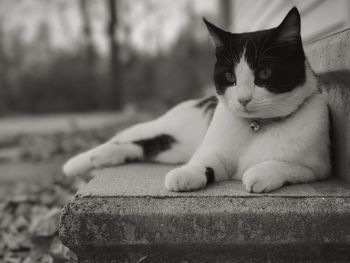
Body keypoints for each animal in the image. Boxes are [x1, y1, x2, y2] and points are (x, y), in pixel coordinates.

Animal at [63, 7, 330, 194]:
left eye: (264, 73)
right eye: (230, 76)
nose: (243, 99)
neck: (256, 126)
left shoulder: (317, 169)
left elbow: (286, 165)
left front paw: (259, 173)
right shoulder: (212, 153)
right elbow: (204, 162)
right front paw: (184, 175)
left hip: (174, 149)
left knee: (143, 147)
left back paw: (104, 157)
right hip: (161, 126)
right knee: (125, 137)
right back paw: (78, 162)